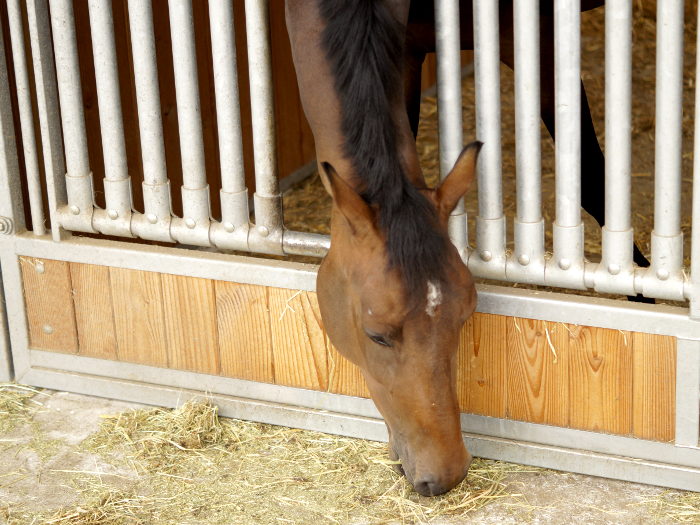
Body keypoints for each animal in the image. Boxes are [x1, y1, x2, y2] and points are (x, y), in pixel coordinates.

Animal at [285, 0, 641, 497]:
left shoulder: (535, 33)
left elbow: (594, 182)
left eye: (464, 317)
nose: (445, 474)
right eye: (376, 335)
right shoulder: (406, 50)